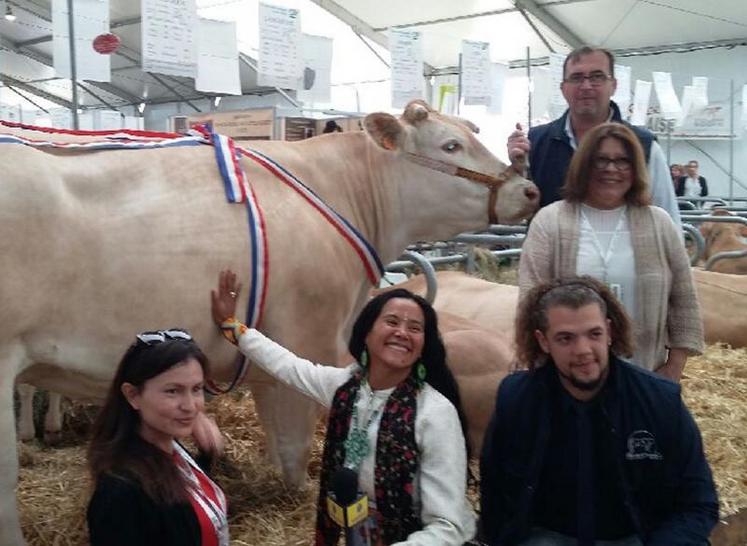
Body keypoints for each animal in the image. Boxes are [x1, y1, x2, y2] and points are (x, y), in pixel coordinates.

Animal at [0, 100, 536, 540]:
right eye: (451, 145)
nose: (528, 188)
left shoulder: (268, 354)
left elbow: (277, 442)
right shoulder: (308, 336)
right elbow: (295, 449)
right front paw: (297, 499)